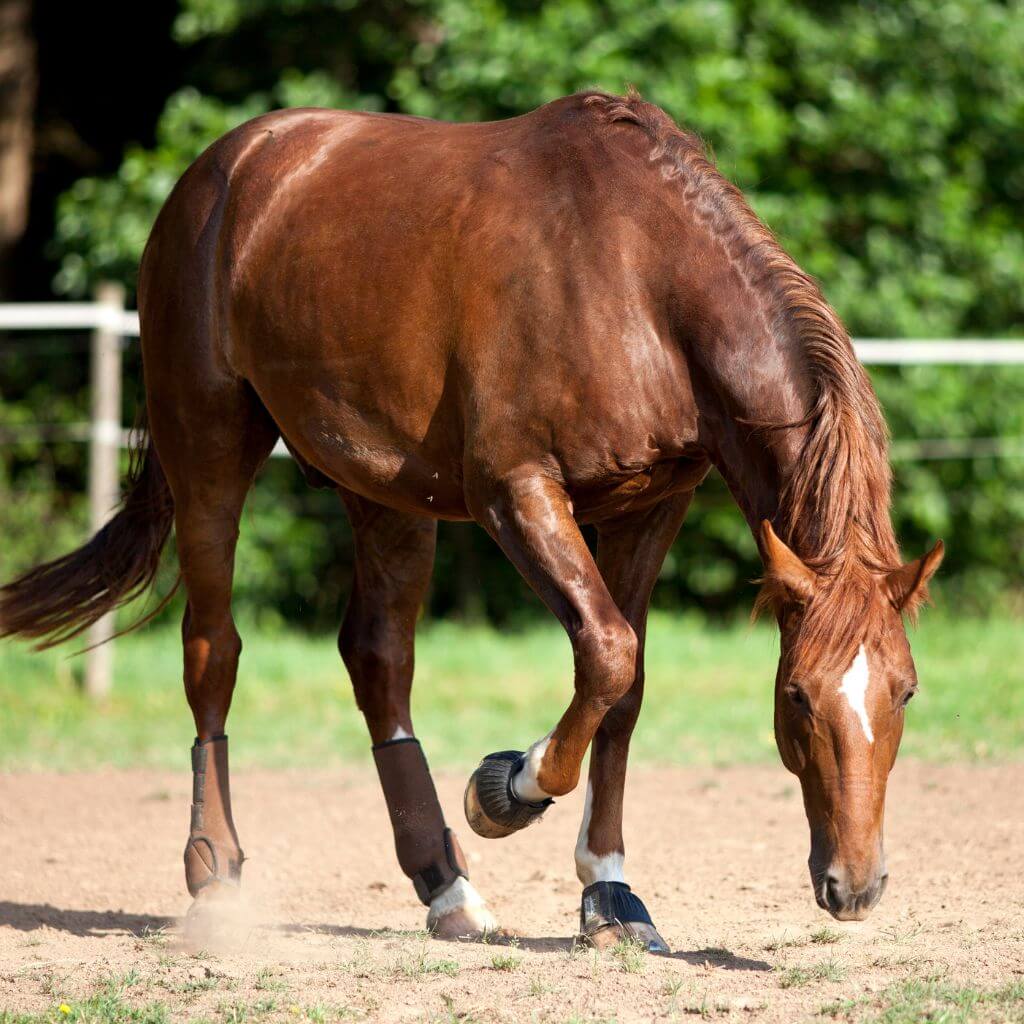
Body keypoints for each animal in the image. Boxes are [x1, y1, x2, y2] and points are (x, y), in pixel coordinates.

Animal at [0, 91, 943, 952]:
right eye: (796, 696)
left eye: (904, 692)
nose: (855, 886)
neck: (638, 277)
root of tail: (220, 171)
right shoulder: (514, 491)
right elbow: (606, 653)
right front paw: (506, 789)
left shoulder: (652, 504)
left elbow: (625, 688)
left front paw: (610, 895)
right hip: (209, 451)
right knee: (213, 652)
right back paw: (217, 879)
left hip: (380, 489)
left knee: (378, 660)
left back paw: (445, 887)